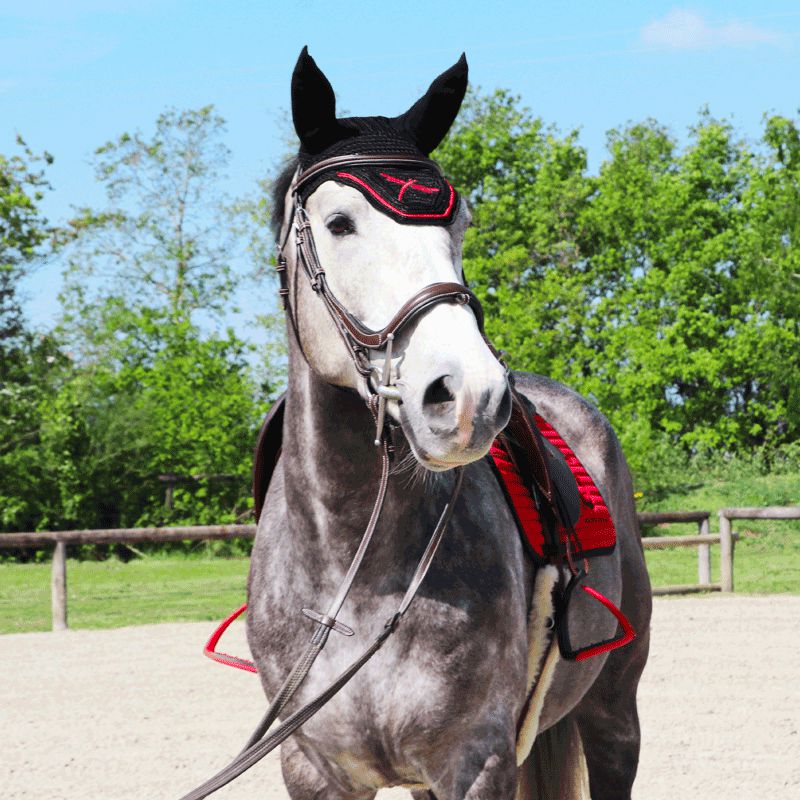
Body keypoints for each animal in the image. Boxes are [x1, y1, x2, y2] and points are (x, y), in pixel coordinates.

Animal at [244, 48, 651, 800]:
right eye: (339, 222)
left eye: (457, 224)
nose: (469, 396)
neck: (355, 575)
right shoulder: (315, 771)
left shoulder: (475, 764)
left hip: (614, 713)